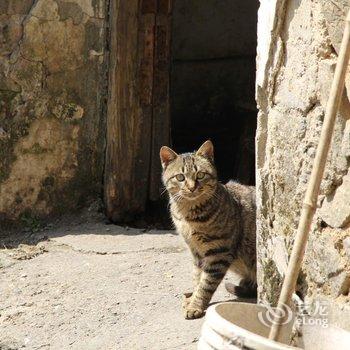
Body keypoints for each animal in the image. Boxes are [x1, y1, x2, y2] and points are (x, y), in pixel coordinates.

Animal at [160, 140, 256, 320]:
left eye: (200, 175)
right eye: (180, 177)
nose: (191, 188)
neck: (187, 216)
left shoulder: (219, 252)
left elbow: (206, 284)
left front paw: (195, 305)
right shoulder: (197, 252)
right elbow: (198, 278)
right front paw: (191, 300)